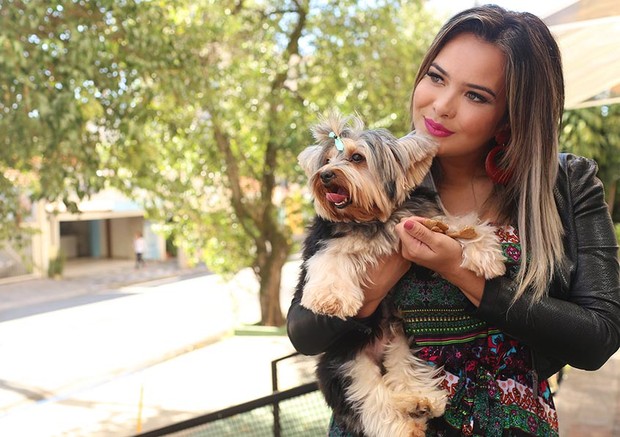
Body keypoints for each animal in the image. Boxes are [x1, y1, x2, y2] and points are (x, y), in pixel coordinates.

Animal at [298, 113, 506, 436]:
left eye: (357, 158)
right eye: (326, 161)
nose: (326, 175)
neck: (371, 218)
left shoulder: (419, 219)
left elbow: (456, 224)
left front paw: (485, 253)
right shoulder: (326, 243)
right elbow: (330, 261)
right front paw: (330, 299)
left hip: (399, 337)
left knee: (402, 368)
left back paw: (420, 401)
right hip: (345, 362)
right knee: (370, 398)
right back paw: (404, 426)